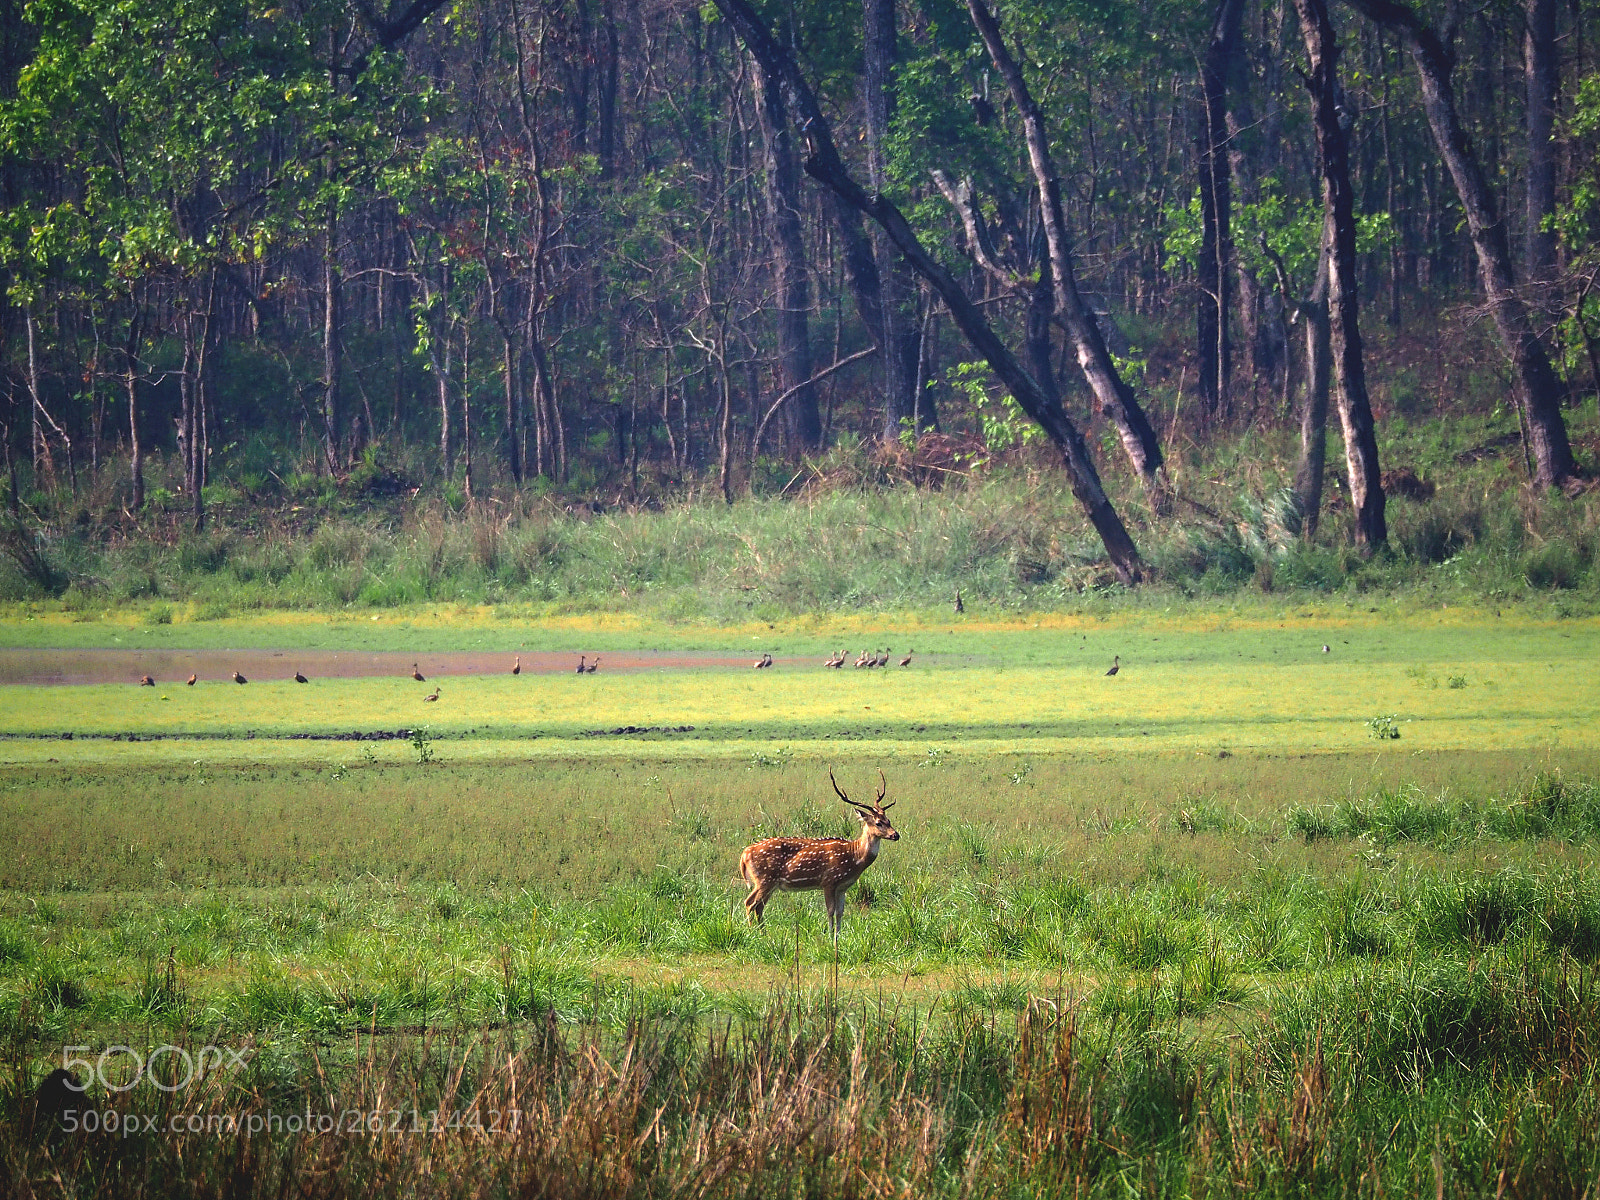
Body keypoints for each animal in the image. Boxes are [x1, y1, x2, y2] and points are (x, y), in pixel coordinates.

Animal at [738, 768, 899, 944]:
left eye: (889, 820)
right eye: (878, 823)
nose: (896, 835)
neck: (854, 857)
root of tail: (744, 854)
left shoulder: (843, 886)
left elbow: (840, 912)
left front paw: (838, 937)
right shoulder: (828, 880)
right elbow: (830, 911)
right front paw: (830, 937)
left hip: (769, 883)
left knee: (759, 906)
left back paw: (764, 934)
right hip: (764, 878)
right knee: (750, 903)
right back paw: (752, 933)